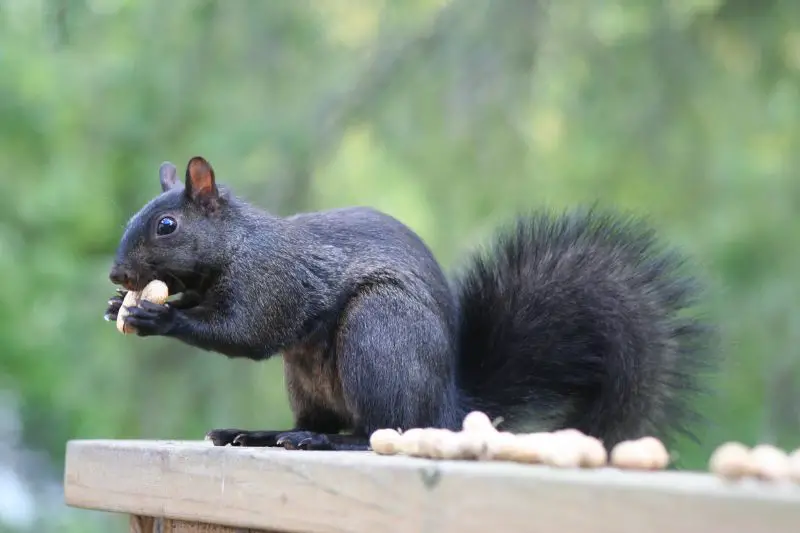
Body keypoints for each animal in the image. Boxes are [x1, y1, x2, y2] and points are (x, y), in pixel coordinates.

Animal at [104, 156, 715, 451]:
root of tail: (445, 407)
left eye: (166, 225)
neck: (237, 245)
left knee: (382, 431)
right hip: (308, 378)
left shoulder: (274, 281)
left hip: (380, 334)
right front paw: (119, 305)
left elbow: (246, 332)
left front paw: (158, 314)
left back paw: (321, 441)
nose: (116, 273)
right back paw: (259, 433)